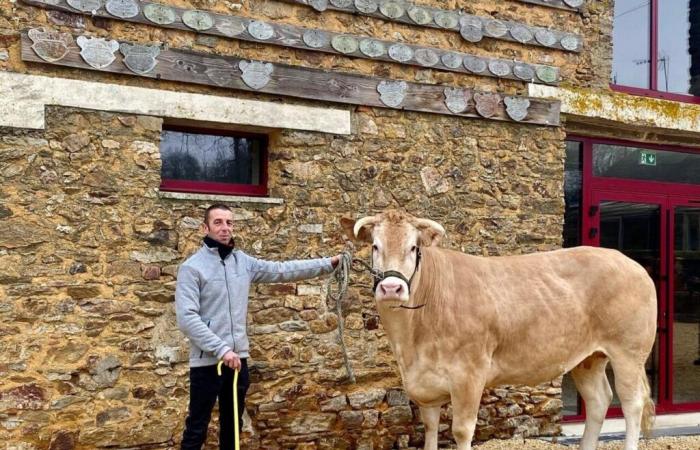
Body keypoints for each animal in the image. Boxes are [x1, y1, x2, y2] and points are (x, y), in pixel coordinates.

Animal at [342, 211, 660, 450]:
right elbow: (430, 429)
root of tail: (628, 262)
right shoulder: (425, 386)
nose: (391, 288)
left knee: (632, 404)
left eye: (413, 248)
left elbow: (461, 431)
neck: (410, 343)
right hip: (587, 357)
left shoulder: (469, 374)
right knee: (598, 401)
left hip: (629, 352)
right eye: (375, 246)